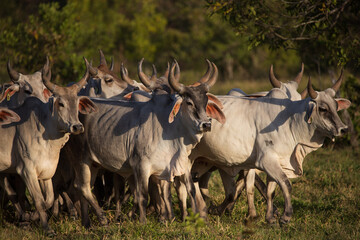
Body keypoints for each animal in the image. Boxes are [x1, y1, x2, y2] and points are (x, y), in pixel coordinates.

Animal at [0, 59, 97, 234]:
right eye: (61, 103)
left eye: (77, 103)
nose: (77, 127)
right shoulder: (26, 171)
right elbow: (38, 200)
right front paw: (45, 227)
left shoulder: (47, 173)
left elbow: (49, 200)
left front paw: (34, 217)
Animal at [68, 60, 225, 227]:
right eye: (189, 103)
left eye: (206, 102)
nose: (206, 124)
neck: (170, 130)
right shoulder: (141, 166)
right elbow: (142, 196)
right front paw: (143, 222)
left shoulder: (179, 166)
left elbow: (185, 191)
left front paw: (185, 219)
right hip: (80, 159)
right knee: (82, 187)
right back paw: (102, 218)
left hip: (93, 164)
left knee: (85, 188)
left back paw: (87, 222)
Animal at [188, 71, 348, 225]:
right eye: (323, 108)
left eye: (336, 107)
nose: (343, 129)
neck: (290, 122)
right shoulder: (265, 161)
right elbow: (285, 184)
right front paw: (285, 216)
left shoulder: (276, 162)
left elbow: (270, 190)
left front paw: (270, 218)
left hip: (204, 161)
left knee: (196, 179)